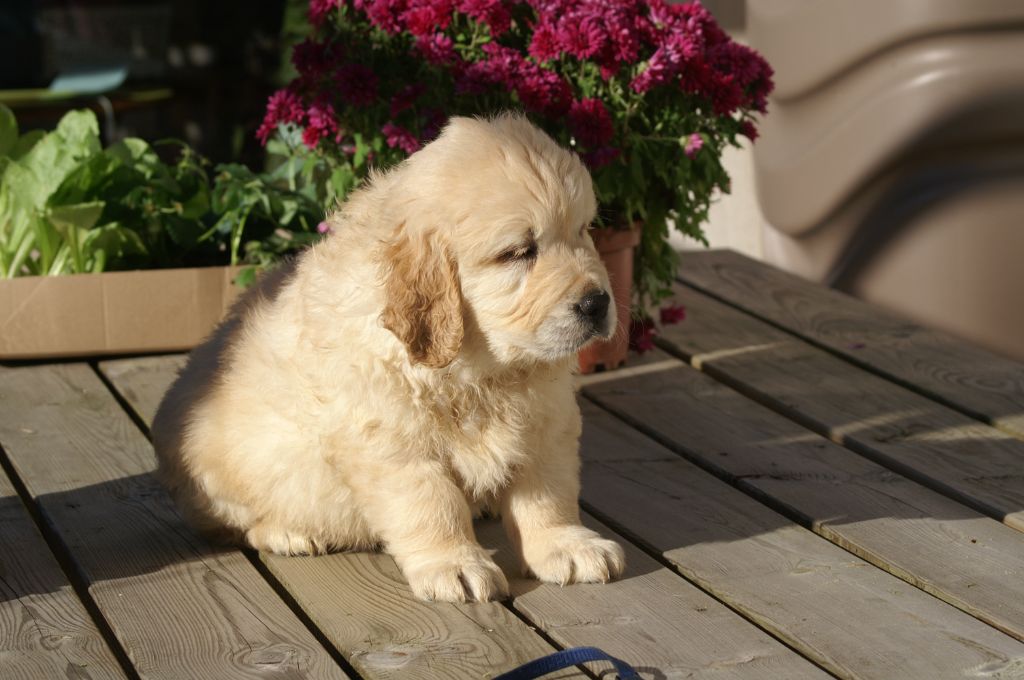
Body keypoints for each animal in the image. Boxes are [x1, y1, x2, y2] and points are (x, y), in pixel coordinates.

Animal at [153, 114, 622, 602]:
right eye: (518, 253)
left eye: (584, 230)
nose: (597, 303)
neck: (481, 370)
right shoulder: (391, 439)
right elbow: (431, 503)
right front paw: (454, 563)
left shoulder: (546, 420)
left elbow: (548, 492)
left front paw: (566, 544)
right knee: (240, 523)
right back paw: (289, 533)